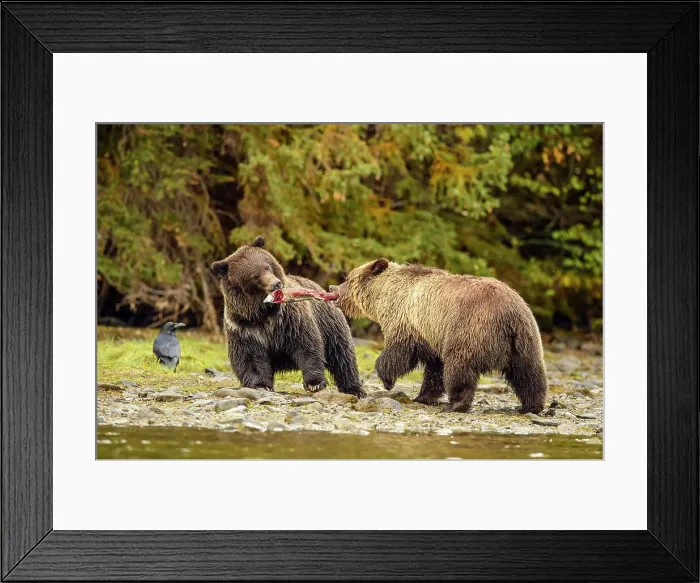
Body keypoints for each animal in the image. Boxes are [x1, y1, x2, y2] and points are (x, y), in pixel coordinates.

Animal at [211, 237, 365, 398]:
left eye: (267, 266)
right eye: (255, 276)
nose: (276, 283)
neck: (262, 313)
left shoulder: (290, 319)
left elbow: (307, 345)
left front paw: (314, 383)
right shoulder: (244, 327)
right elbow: (250, 357)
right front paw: (261, 385)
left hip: (330, 323)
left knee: (342, 355)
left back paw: (354, 389)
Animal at [330, 259, 547, 414]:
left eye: (347, 279)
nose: (333, 288)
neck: (384, 296)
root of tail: (508, 313)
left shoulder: (407, 321)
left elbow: (399, 352)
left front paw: (386, 379)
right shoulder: (431, 334)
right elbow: (434, 368)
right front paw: (423, 396)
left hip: (470, 329)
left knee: (460, 367)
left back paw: (456, 405)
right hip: (525, 337)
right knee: (528, 372)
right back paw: (531, 406)